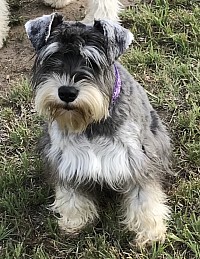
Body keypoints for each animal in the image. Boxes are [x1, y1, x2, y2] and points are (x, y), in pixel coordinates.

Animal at [25, 12, 172, 248]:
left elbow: (144, 196)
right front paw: (74, 220)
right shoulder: (66, 159)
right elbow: (71, 192)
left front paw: (150, 232)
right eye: (52, 57)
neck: (90, 122)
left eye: (92, 62)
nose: (66, 92)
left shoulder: (137, 159)